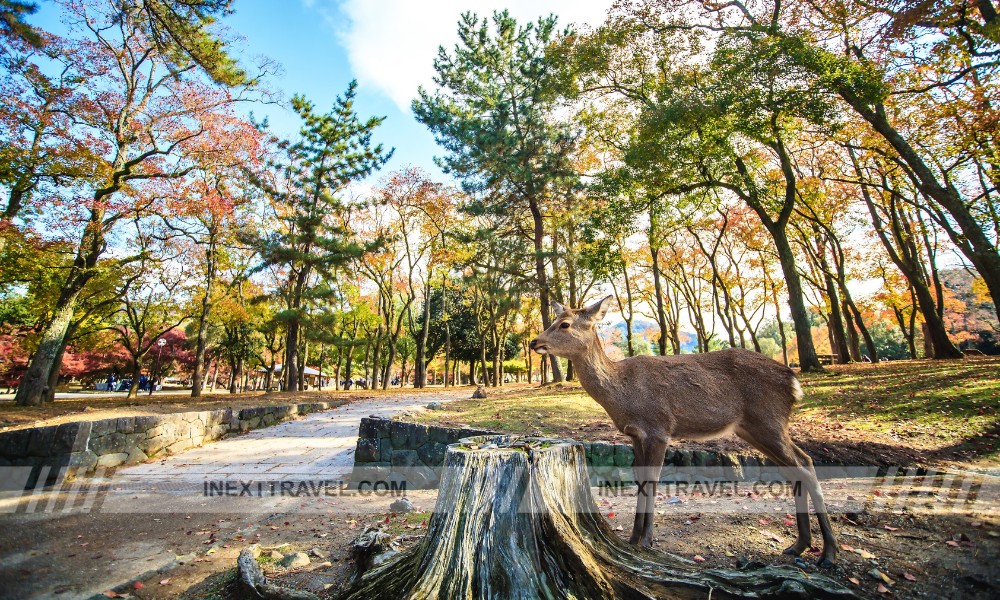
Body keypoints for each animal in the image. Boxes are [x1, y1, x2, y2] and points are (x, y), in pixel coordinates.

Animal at [532, 296, 836, 568]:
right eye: (555, 320)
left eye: (565, 324)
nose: (534, 342)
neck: (623, 394)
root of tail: (794, 382)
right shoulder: (636, 435)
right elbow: (639, 481)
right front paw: (632, 539)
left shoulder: (658, 428)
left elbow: (651, 483)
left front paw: (646, 541)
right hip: (755, 429)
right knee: (799, 466)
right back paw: (798, 546)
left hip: (768, 421)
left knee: (804, 465)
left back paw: (827, 555)